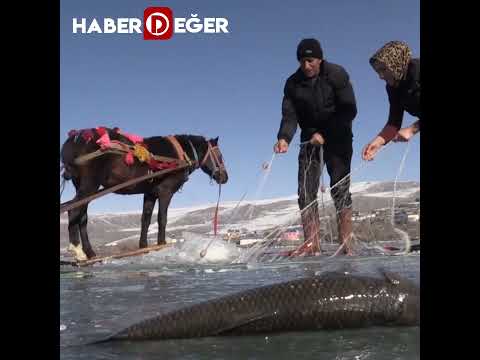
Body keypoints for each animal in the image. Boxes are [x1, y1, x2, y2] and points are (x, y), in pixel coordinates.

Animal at [60, 128, 229, 260]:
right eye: (220, 156)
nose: (225, 177)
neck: (180, 155)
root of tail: (74, 139)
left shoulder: (150, 193)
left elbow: (145, 220)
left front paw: (143, 247)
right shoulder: (166, 191)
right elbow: (162, 218)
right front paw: (161, 244)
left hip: (82, 186)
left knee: (82, 217)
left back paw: (90, 253)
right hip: (90, 185)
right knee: (73, 210)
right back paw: (78, 251)